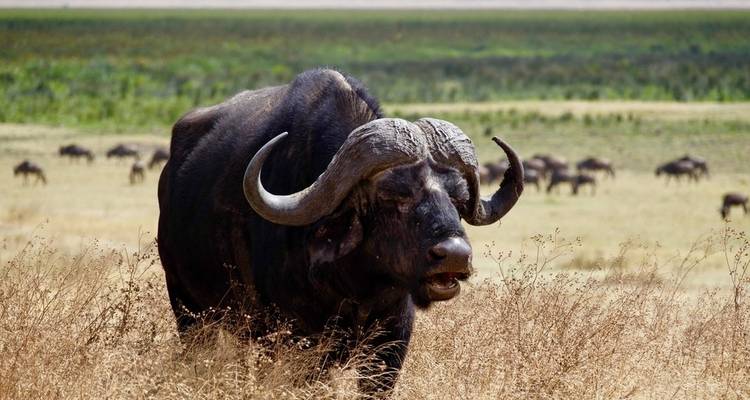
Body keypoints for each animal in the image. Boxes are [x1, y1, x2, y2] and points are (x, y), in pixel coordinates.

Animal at [157, 69, 524, 396]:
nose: (455, 256)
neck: (356, 285)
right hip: (189, 309)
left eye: (458, 197)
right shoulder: (292, 342)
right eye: (392, 196)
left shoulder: (391, 344)